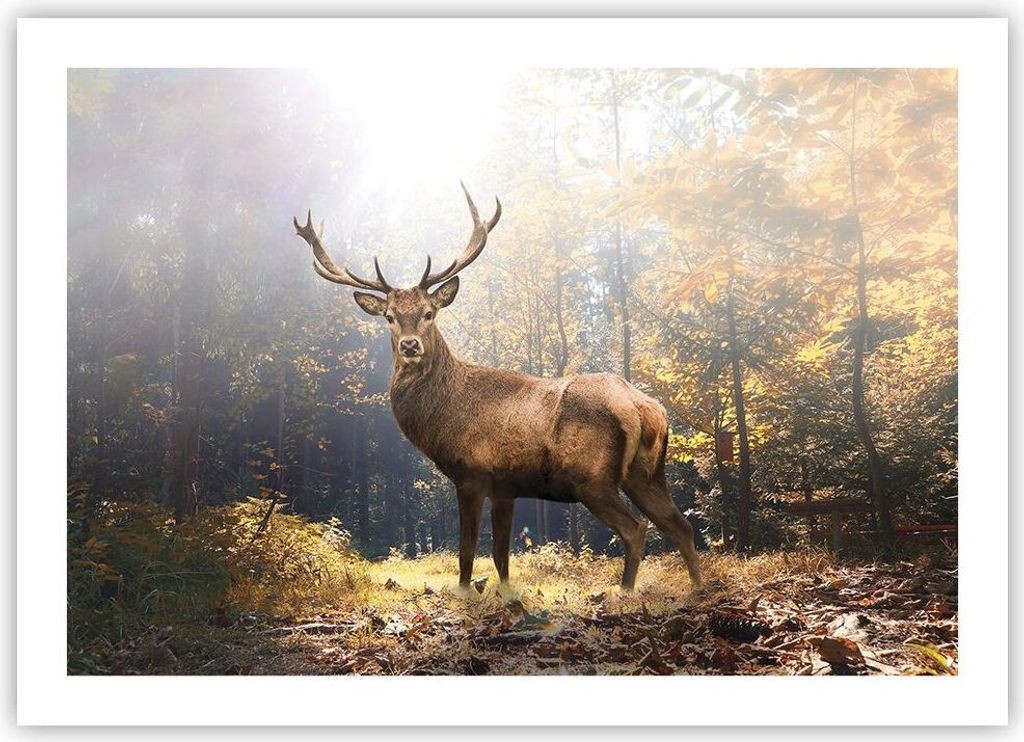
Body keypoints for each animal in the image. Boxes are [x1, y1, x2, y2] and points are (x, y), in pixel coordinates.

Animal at [293, 183, 702, 592]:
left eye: (429, 313)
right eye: (390, 317)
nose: (410, 345)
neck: (443, 417)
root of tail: (644, 407)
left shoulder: (471, 473)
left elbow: (467, 550)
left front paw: (465, 593)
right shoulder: (507, 486)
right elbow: (501, 555)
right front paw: (505, 593)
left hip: (592, 476)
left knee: (637, 528)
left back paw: (624, 592)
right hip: (646, 473)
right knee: (681, 524)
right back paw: (697, 587)